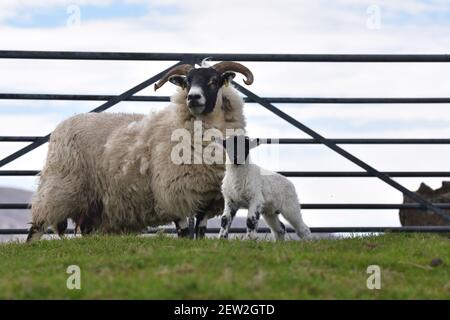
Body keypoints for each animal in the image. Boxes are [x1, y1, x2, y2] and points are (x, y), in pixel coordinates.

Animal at [26, 60, 255, 242]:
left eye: (214, 81)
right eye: (187, 82)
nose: (193, 98)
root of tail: (63, 124)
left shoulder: (208, 197)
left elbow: (200, 231)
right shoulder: (172, 192)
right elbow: (183, 232)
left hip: (92, 202)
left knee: (85, 229)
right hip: (60, 186)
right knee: (38, 223)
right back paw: (32, 245)